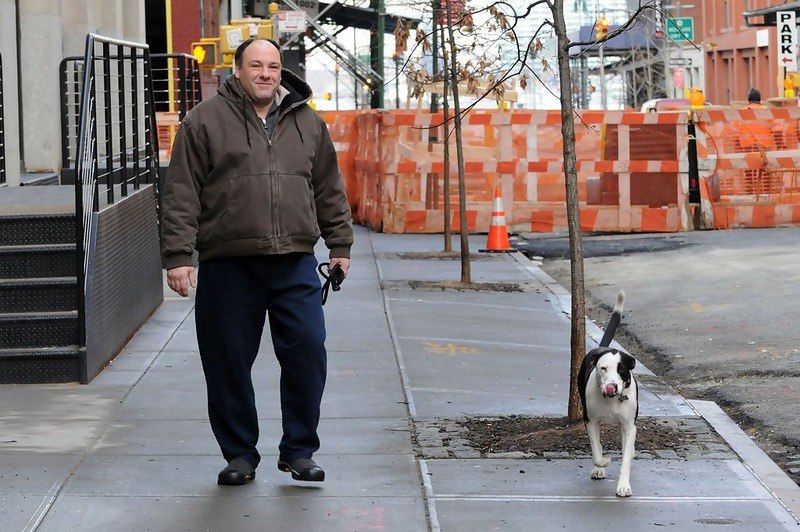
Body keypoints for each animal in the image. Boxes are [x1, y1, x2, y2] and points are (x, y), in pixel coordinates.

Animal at [580, 288, 640, 496]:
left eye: (622, 369)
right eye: (603, 368)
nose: (611, 387)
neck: (612, 400)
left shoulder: (629, 426)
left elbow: (626, 458)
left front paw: (623, 485)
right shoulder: (590, 421)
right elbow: (597, 452)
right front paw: (604, 462)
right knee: (596, 445)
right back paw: (599, 468)